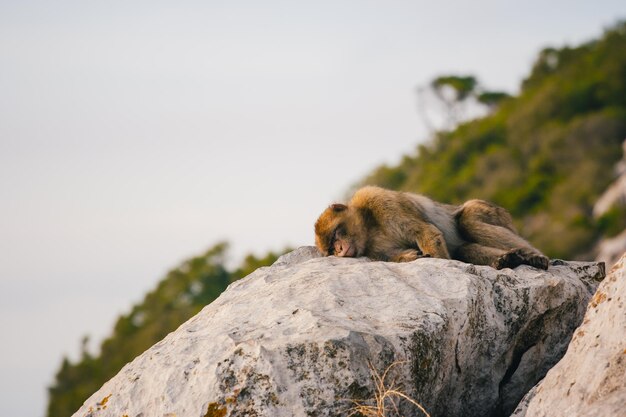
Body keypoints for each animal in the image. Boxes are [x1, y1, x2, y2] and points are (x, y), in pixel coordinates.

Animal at [312, 186, 544, 270]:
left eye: (335, 235)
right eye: (331, 248)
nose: (339, 250)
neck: (369, 229)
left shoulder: (379, 200)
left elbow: (425, 232)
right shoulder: (372, 250)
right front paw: (411, 257)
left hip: (495, 213)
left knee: (468, 221)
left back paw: (533, 256)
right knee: (463, 248)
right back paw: (506, 260)